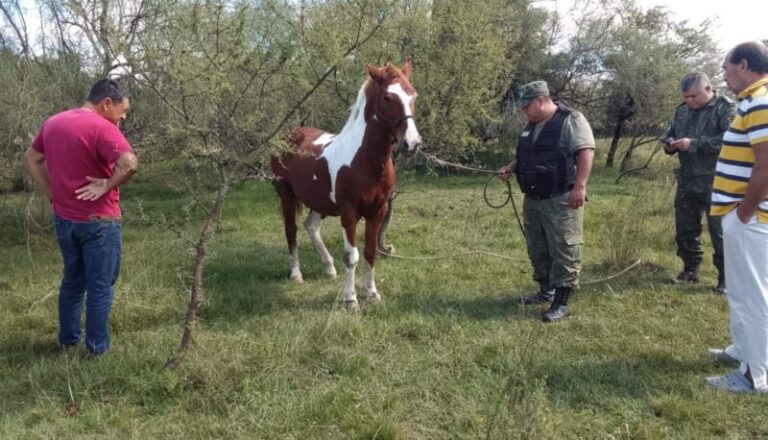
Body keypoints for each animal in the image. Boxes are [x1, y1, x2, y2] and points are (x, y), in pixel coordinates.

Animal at [271, 58, 421, 311]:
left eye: (413, 95)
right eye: (387, 97)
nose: (412, 143)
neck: (364, 160)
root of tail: (289, 135)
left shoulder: (377, 210)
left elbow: (370, 252)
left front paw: (372, 293)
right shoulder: (349, 212)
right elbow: (352, 256)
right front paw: (350, 300)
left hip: (319, 202)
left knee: (311, 226)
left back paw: (329, 268)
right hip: (287, 194)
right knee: (291, 230)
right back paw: (297, 275)